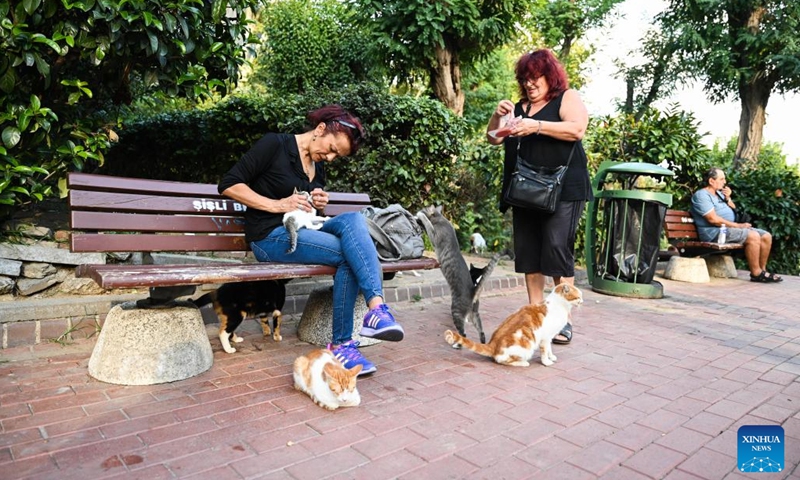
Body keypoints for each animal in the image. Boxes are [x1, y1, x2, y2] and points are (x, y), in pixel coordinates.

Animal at [416, 204, 496, 344]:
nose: (416, 213)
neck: (441, 219)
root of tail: (473, 292)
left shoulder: (434, 236)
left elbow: (427, 223)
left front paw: (421, 216)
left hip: (457, 311)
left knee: (463, 334)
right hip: (475, 315)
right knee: (481, 331)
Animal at [444, 284, 580, 366]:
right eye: (578, 297)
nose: (582, 301)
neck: (559, 306)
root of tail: (492, 344)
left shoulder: (549, 337)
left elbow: (550, 349)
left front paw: (551, 357)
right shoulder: (545, 338)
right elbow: (544, 351)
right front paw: (546, 361)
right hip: (526, 348)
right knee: (500, 360)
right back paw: (523, 363)